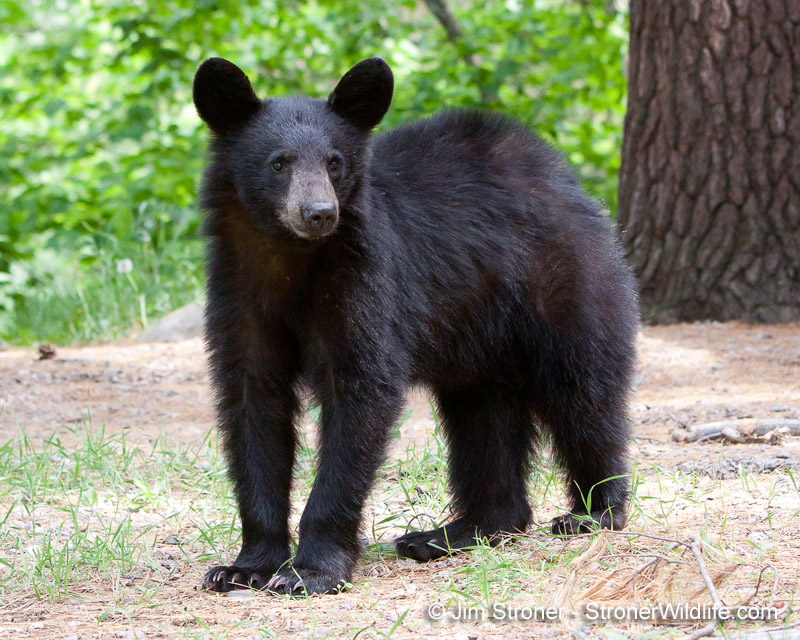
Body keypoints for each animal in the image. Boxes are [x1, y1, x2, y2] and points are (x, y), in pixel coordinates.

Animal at [193, 57, 638, 595]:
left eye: (334, 162)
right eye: (279, 162)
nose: (319, 213)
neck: (290, 261)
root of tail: (568, 182)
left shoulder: (365, 281)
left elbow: (361, 393)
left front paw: (311, 570)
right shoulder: (238, 293)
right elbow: (252, 405)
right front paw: (245, 565)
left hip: (565, 285)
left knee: (583, 394)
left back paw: (594, 512)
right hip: (479, 339)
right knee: (483, 420)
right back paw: (455, 532)